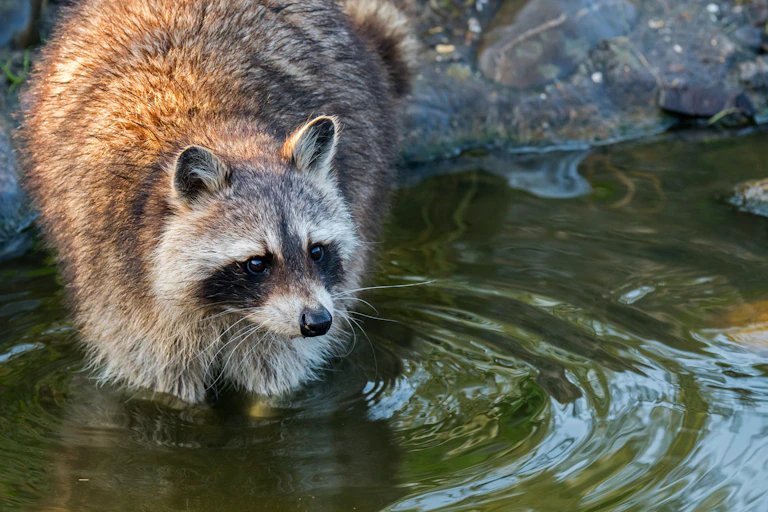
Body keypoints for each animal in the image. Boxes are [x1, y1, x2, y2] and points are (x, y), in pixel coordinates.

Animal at [19, 0, 415, 403]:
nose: (317, 321)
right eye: (257, 262)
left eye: (316, 251)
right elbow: (161, 380)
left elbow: (276, 370)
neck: (224, 133)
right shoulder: (119, 276)